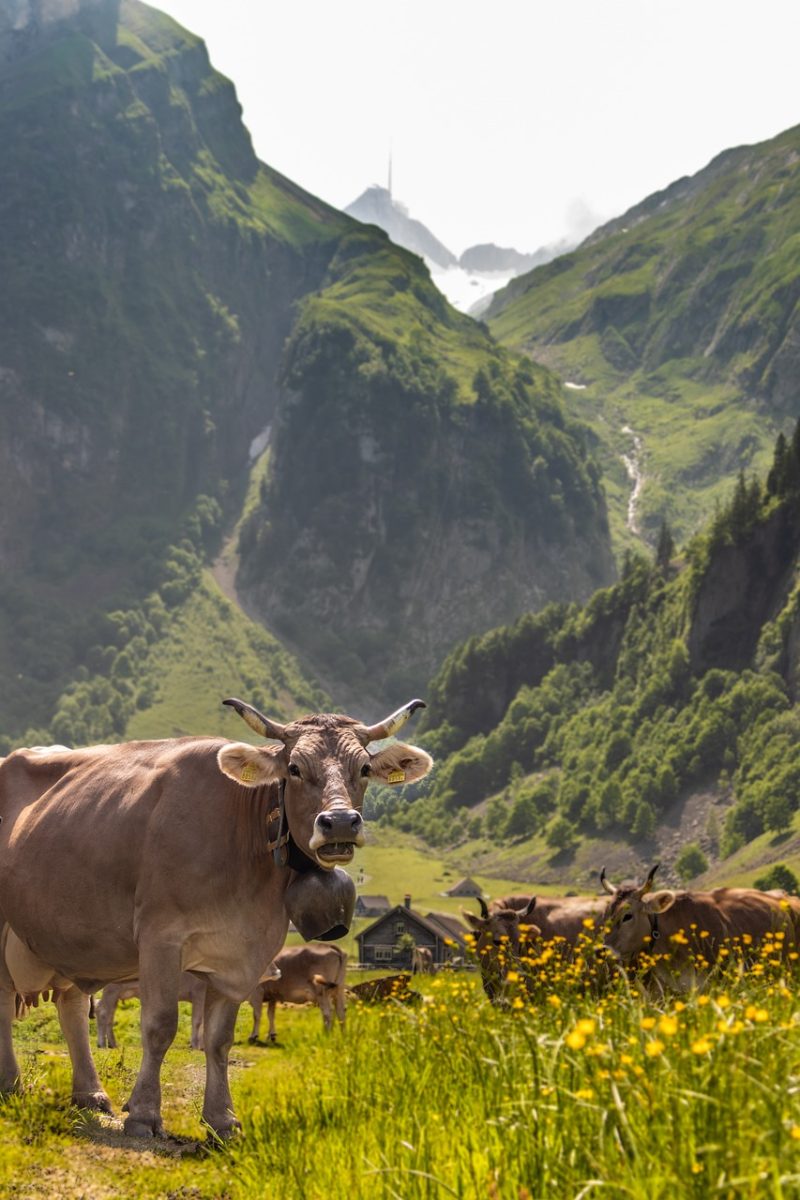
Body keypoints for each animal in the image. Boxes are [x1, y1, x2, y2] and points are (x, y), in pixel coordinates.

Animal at [0, 698, 432, 1137]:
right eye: (294, 768)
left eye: (363, 768)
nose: (340, 823)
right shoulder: (160, 937)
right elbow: (160, 1025)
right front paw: (143, 1114)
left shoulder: (243, 952)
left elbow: (220, 1038)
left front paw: (222, 1119)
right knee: (6, 1002)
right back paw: (12, 1085)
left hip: (65, 938)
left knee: (71, 1004)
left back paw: (90, 1094)